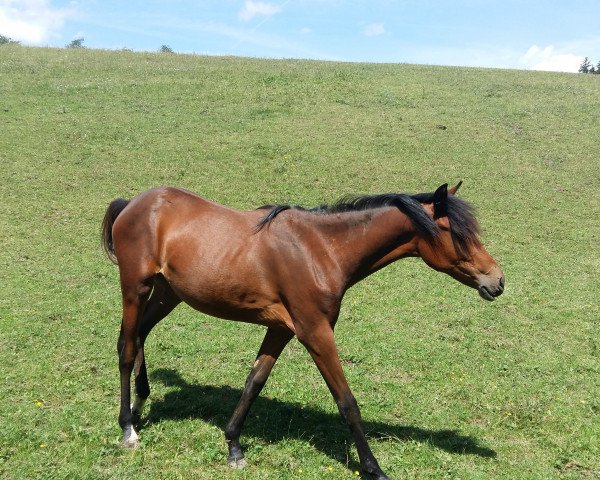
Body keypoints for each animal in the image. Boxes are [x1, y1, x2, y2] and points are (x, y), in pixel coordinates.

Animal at [102, 183, 502, 480]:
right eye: (457, 234)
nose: (497, 281)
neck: (320, 249)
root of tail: (133, 203)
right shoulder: (315, 332)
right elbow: (347, 402)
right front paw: (374, 468)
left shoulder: (280, 329)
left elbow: (254, 382)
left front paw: (233, 446)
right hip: (135, 288)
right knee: (125, 346)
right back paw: (128, 428)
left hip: (166, 294)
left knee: (141, 336)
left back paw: (141, 403)